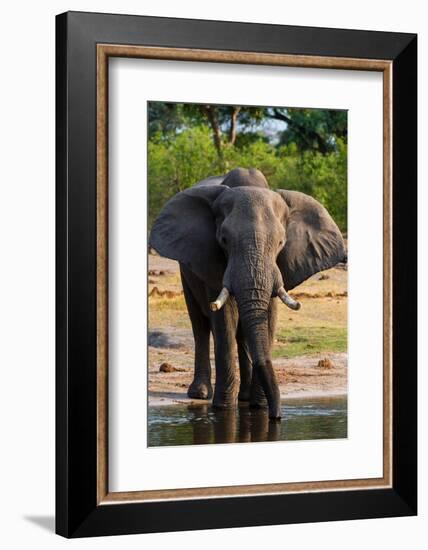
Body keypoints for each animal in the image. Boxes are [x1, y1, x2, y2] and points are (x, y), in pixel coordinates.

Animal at [149, 166, 346, 420]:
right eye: (224, 240)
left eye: (281, 242)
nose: (277, 417)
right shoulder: (211, 260)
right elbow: (224, 319)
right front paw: (223, 409)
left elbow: (268, 316)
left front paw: (258, 407)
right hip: (186, 270)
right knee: (200, 325)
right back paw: (200, 394)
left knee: (241, 333)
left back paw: (243, 397)